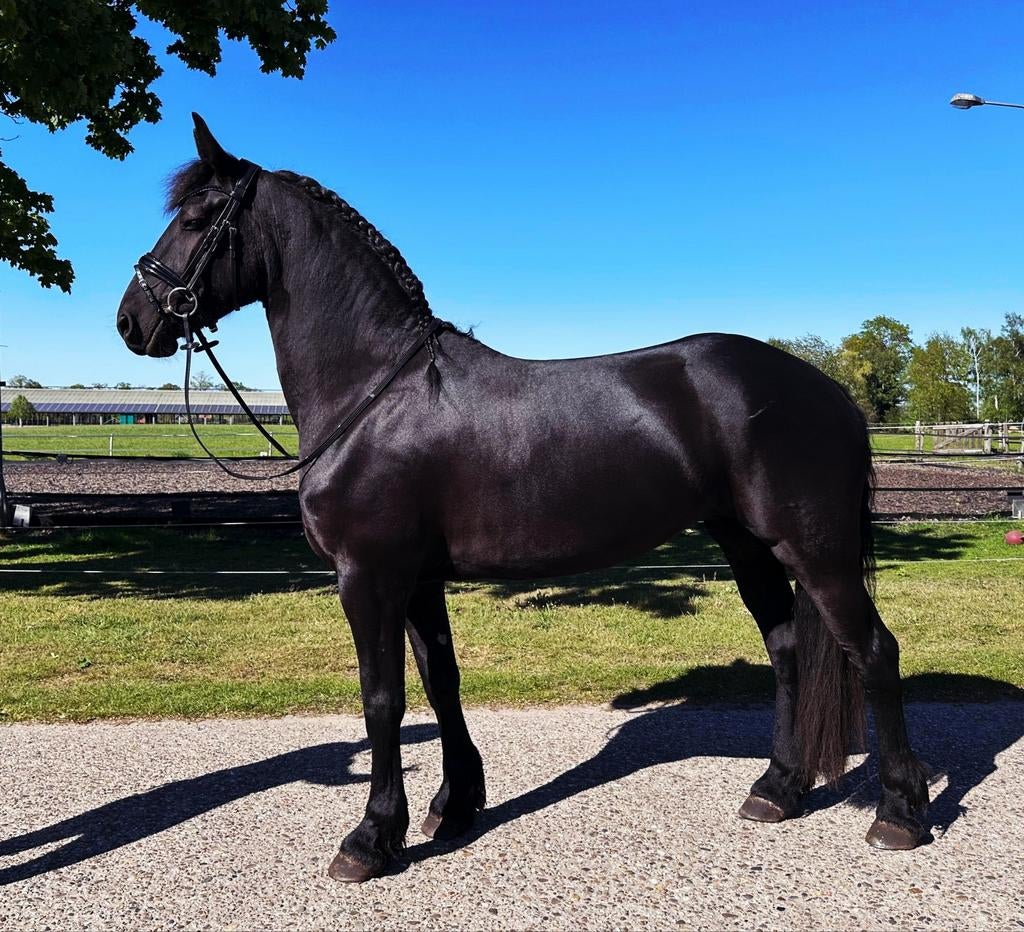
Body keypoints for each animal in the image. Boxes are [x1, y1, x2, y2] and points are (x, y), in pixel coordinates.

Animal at [116, 114, 930, 882]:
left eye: (197, 217)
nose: (132, 320)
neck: (375, 391)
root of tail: (829, 391)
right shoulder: (417, 581)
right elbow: (440, 681)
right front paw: (453, 805)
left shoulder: (368, 577)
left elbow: (383, 699)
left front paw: (371, 838)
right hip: (747, 544)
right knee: (787, 647)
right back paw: (778, 790)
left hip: (815, 550)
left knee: (874, 650)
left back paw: (899, 814)